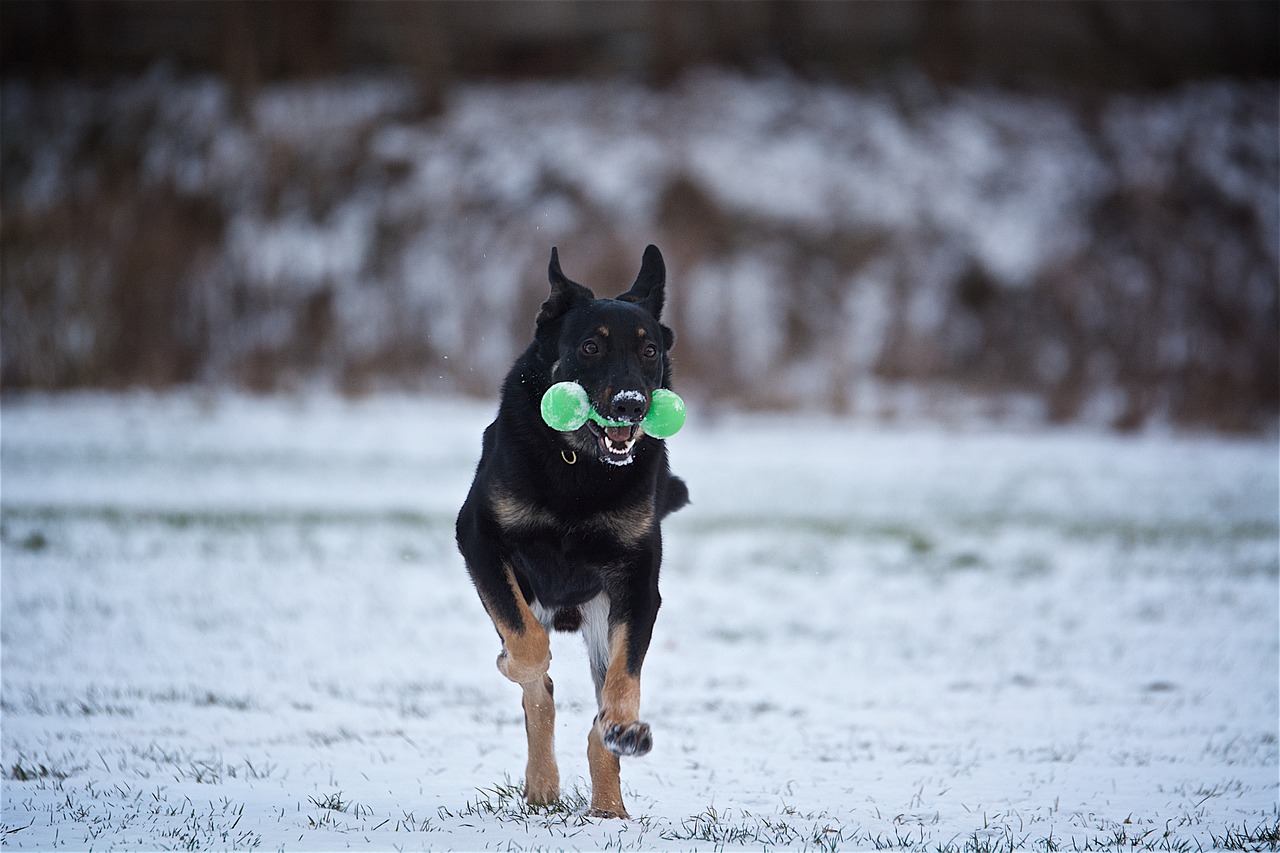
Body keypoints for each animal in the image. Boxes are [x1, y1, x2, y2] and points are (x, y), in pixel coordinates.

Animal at [455, 242, 686, 814]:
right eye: (589, 346)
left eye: (650, 351)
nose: (631, 404)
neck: (580, 465)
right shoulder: (479, 540)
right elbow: (529, 652)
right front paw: (511, 663)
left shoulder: (637, 583)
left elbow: (624, 679)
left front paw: (624, 728)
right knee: (540, 689)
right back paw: (542, 784)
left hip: (602, 615)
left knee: (595, 709)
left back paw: (609, 805)